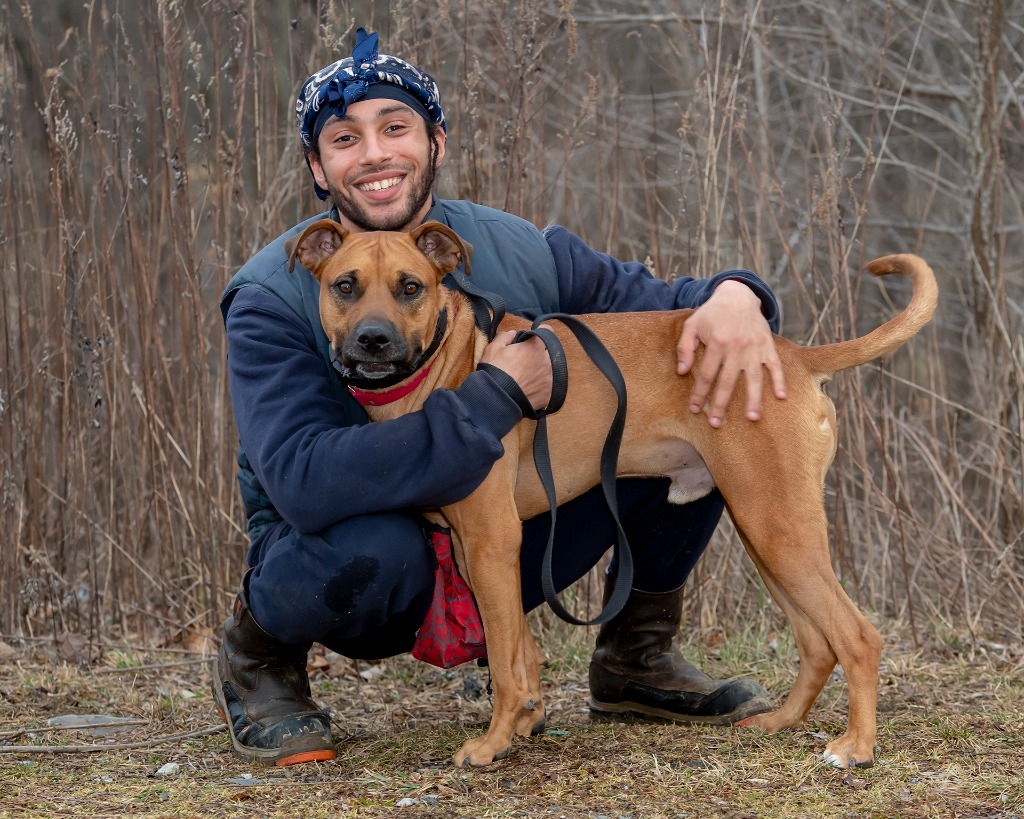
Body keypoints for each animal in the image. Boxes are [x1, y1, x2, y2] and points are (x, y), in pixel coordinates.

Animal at [286, 217, 937, 769]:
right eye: (345, 285)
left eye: (410, 287)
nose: (373, 340)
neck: (450, 365)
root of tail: (794, 357)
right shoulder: (481, 553)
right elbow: (520, 652)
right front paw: (525, 722)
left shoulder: (491, 540)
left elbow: (503, 661)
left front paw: (493, 744)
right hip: (768, 534)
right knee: (817, 641)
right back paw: (781, 721)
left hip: (778, 527)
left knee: (857, 637)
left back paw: (856, 747)